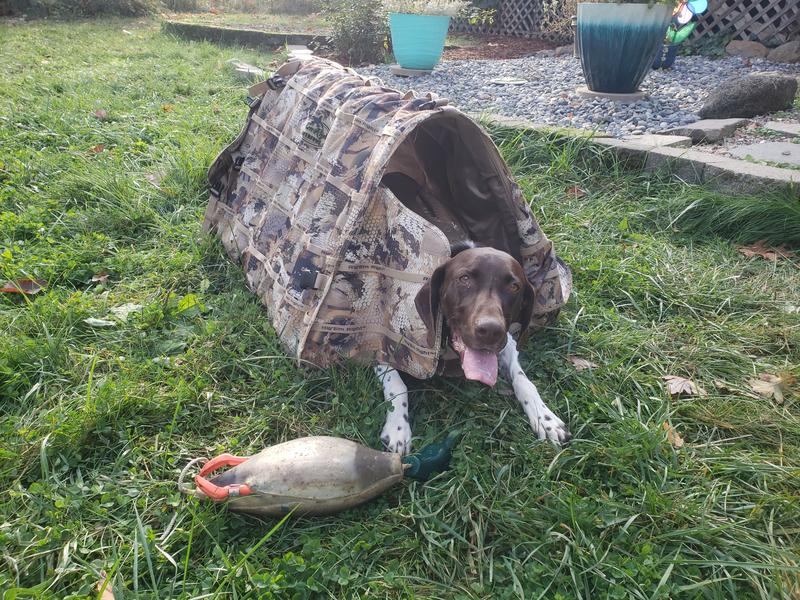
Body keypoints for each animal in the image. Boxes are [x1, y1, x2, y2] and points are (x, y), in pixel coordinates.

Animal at [374, 240, 568, 454]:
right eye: (464, 278)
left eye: (514, 286)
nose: (490, 330)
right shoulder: (382, 342)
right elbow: (396, 384)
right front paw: (398, 428)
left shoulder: (508, 343)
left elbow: (523, 379)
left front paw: (544, 416)